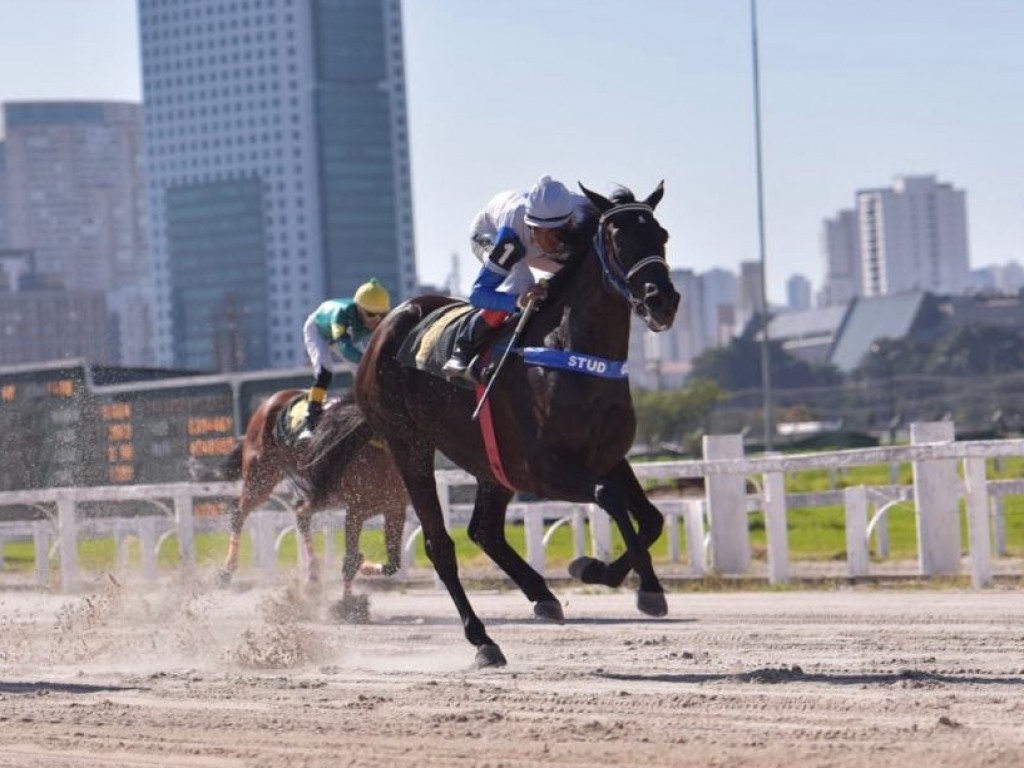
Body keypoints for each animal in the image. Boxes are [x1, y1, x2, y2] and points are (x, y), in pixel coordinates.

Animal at [216, 391, 407, 602]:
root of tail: (273, 399)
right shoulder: (356, 510)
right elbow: (350, 560)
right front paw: (348, 603)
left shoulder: (395, 508)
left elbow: (393, 563)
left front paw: (364, 567)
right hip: (261, 478)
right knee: (239, 513)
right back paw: (227, 571)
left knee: (301, 515)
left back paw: (314, 576)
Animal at [311, 182, 679, 667]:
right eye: (618, 240)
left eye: (661, 235)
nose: (663, 301)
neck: (573, 355)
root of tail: (385, 330)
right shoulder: (543, 470)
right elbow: (610, 498)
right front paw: (648, 589)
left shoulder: (609, 457)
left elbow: (651, 517)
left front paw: (594, 569)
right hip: (409, 443)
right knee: (441, 544)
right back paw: (483, 639)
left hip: (488, 460)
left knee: (483, 529)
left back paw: (543, 596)